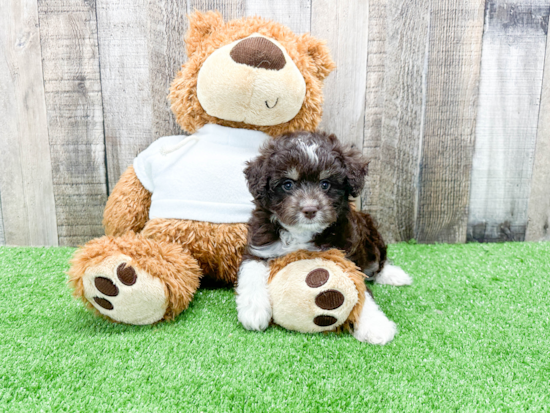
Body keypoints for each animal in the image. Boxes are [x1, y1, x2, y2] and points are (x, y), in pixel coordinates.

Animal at [237, 130, 414, 342]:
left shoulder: (346, 256)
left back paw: (393, 275)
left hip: (371, 236)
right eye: (287, 184)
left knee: (379, 261)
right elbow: (251, 269)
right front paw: (253, 310)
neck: (302, 233)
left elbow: (359, 288)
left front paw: (375, 325)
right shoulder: (260, 245)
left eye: (325, 184)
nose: (310, 209)